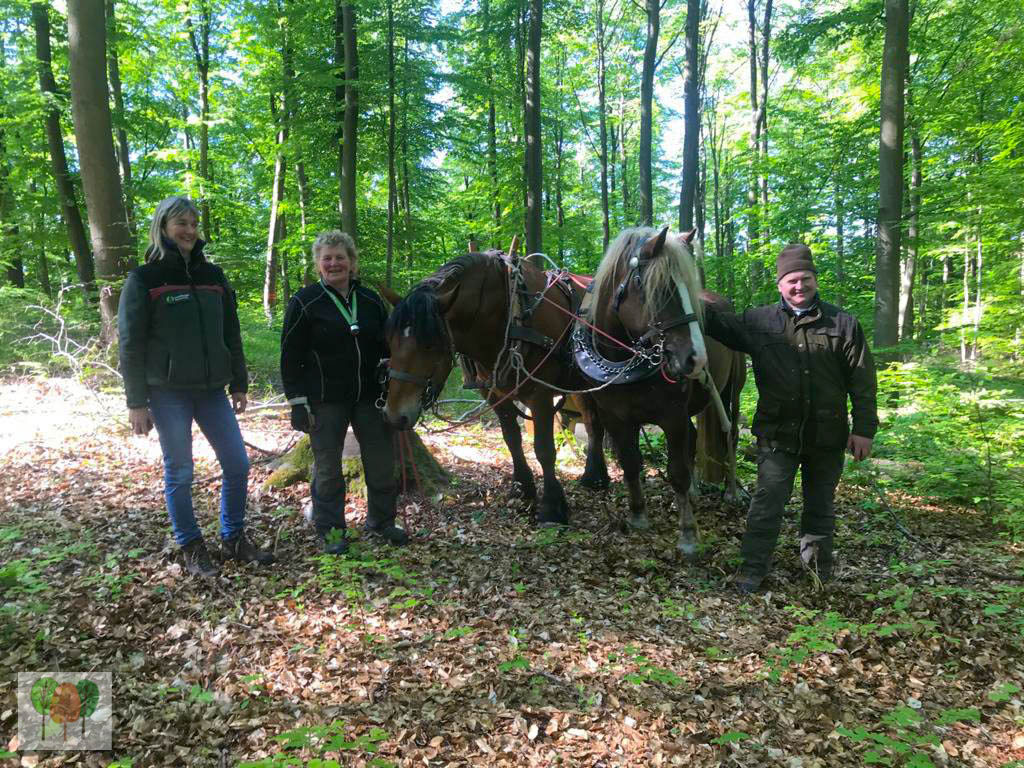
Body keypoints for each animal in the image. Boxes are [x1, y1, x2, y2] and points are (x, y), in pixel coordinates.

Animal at [382, 249, 606, 528]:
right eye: (390, 340)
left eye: (430, 345)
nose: (394, 415)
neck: (507, 313)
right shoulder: (496, 394)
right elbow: (511, 440)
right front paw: (522, 487)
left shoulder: (541, 394)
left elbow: (544, 449)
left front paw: (552, 507)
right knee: (592, 422)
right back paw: (596, 475)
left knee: (595, 425)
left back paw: (596, 477)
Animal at [577, 225, 745, 557]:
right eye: (661, 288)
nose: (696, 359)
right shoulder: (616, 417)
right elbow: (631, 463)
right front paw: (638, 515)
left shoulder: (672, 416)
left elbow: (677, 471)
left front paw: (688, 533)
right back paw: (694, 492)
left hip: (732, 389)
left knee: (729, 432)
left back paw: (731, 492)